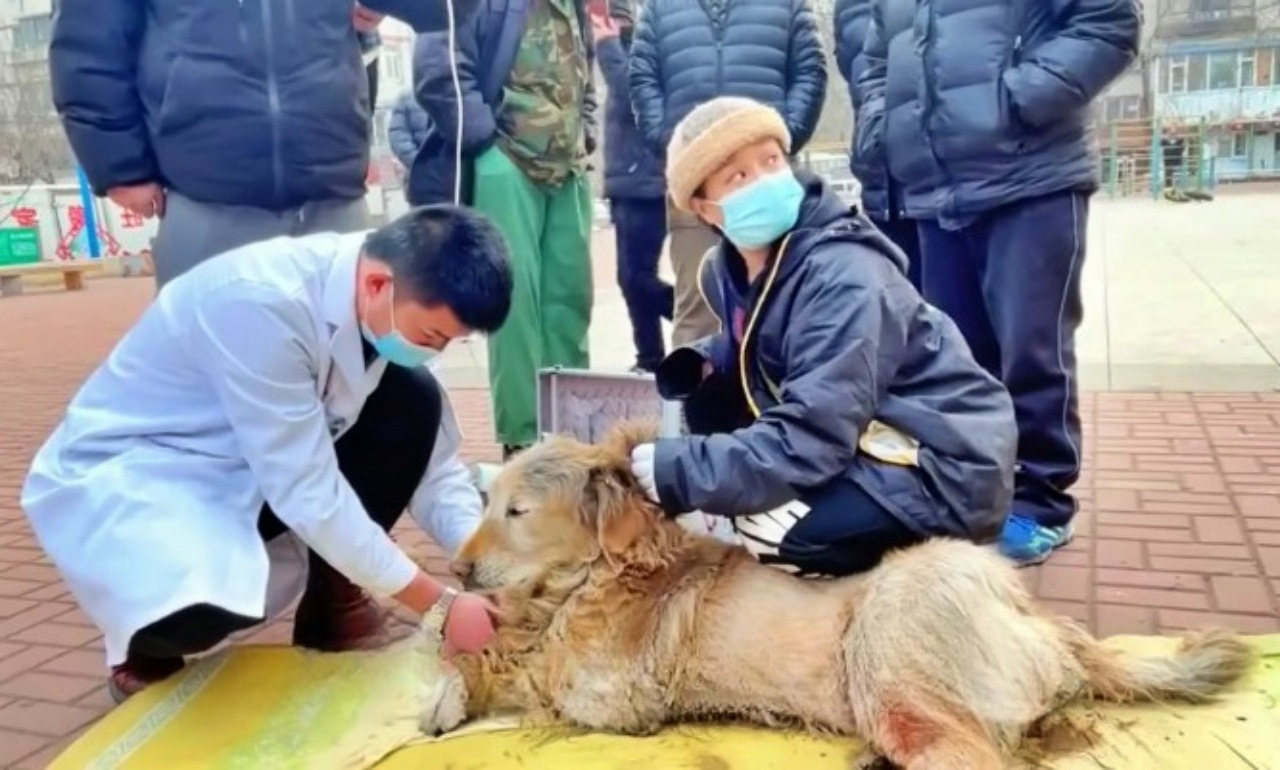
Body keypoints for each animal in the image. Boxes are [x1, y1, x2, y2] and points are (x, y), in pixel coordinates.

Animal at [419, 422, 1249, 762]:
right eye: (486, 500)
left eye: (518, 512)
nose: (456, 570)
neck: (598, 577)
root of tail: (1044, 623)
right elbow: (482, 643)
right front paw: (451, 683)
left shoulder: (611, 703)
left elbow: (530, 671)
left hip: (893, 660)